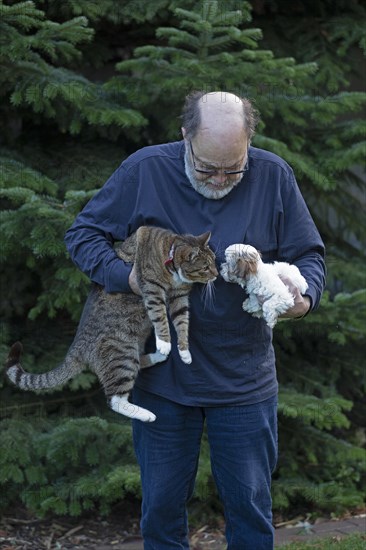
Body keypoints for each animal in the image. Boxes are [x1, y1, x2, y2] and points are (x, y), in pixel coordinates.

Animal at [5, 226, 217, 424]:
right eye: (206, 267)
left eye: (214, 261)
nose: (216, 274)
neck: (170, 252)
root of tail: (77, 347)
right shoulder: (151, 289)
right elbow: (160, 316)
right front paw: (164, 342)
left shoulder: (179, 297)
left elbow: (182, 322)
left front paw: (184, 352)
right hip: (122, 353)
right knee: (115, 400)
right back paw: (146, 413)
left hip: (129, 351)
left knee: (137, 365)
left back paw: (157, 357)